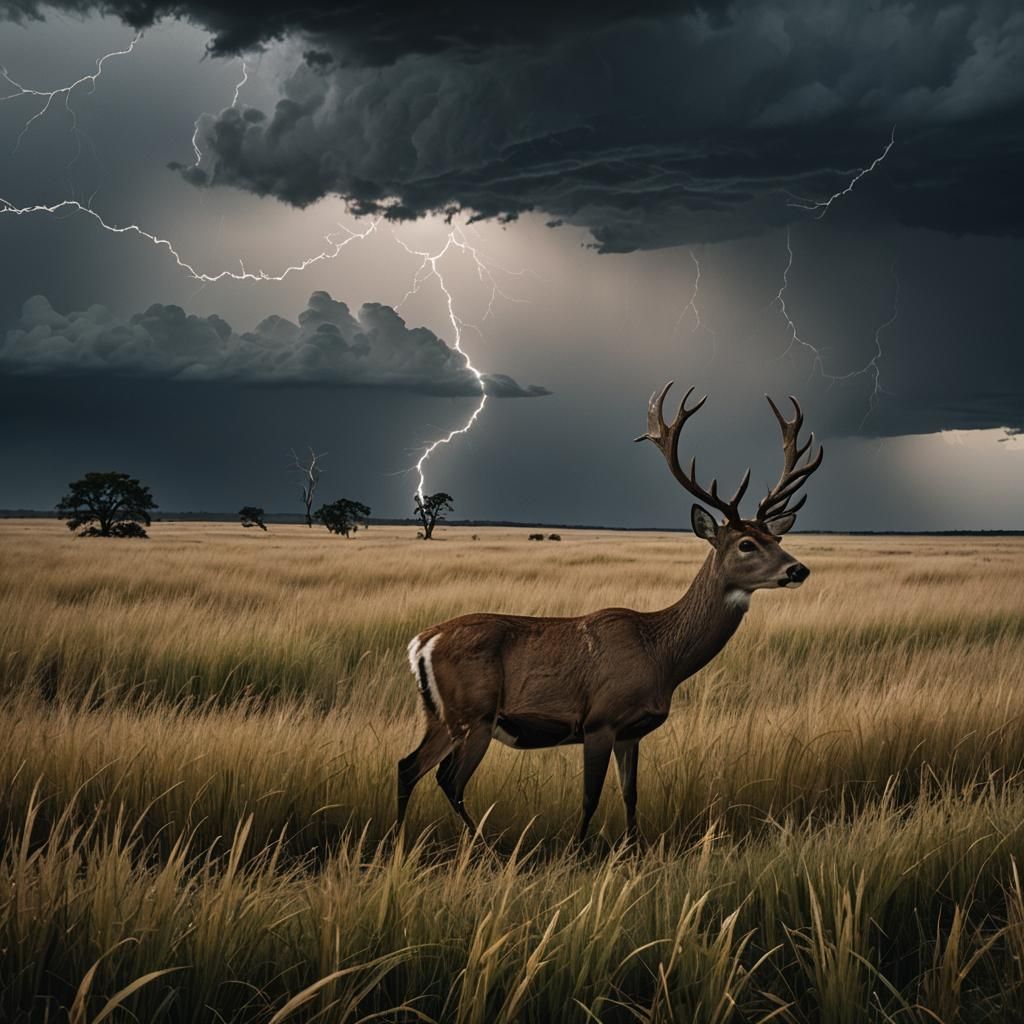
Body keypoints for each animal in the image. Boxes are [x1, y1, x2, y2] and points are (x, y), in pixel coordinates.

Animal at [397, 381, 823, 844]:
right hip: (473, 715)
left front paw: (634, 848)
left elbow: (630, 794)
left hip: (440, 716)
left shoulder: (631, 732)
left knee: (408, 767)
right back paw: (484, 848)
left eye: (776, 538)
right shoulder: (599, 720)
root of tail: (421, 643)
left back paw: (401, 842)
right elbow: (590, 798)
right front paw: (578, 849)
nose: (798, 569)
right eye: (746, 544)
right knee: (447, 779)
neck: (660, 655)